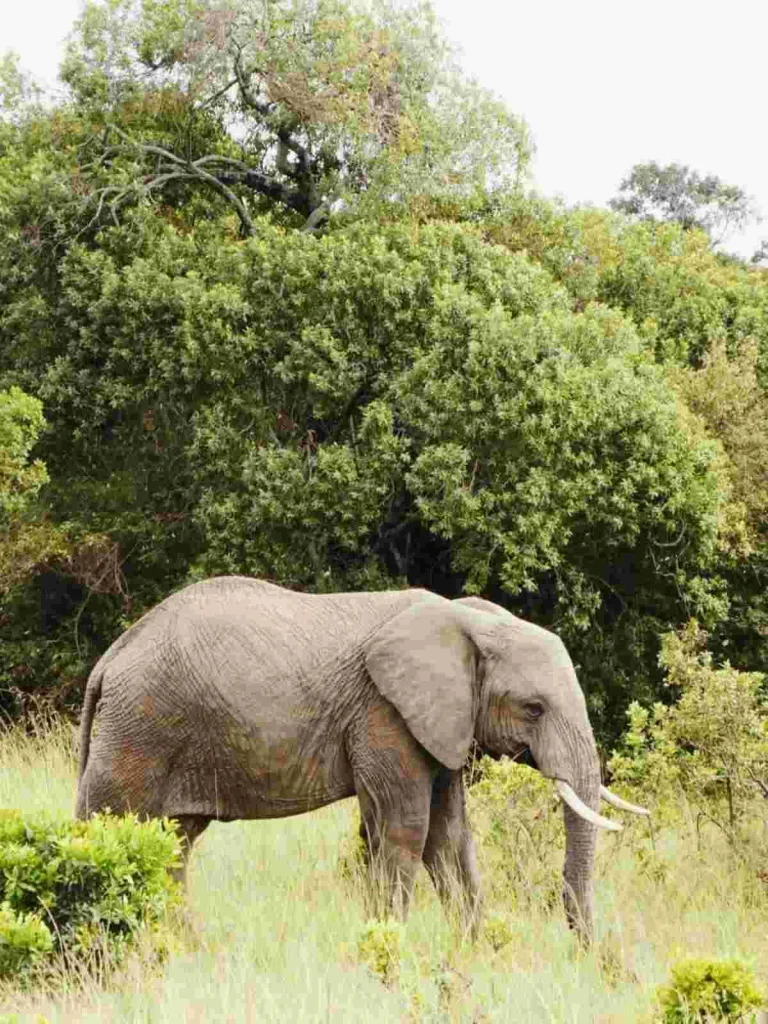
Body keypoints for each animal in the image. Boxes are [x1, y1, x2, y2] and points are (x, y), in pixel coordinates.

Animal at [75, 573, 647, 937]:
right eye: (533, 708)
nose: (586, 952)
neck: (465, 618)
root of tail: (111, 656)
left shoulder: (439, 722)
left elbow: (449, 837)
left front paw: (473, 951)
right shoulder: (384, 713)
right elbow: (406, 829)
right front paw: (386, 945)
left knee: (173, 842)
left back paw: (182, 944)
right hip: (138, 727)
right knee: (107, 825)